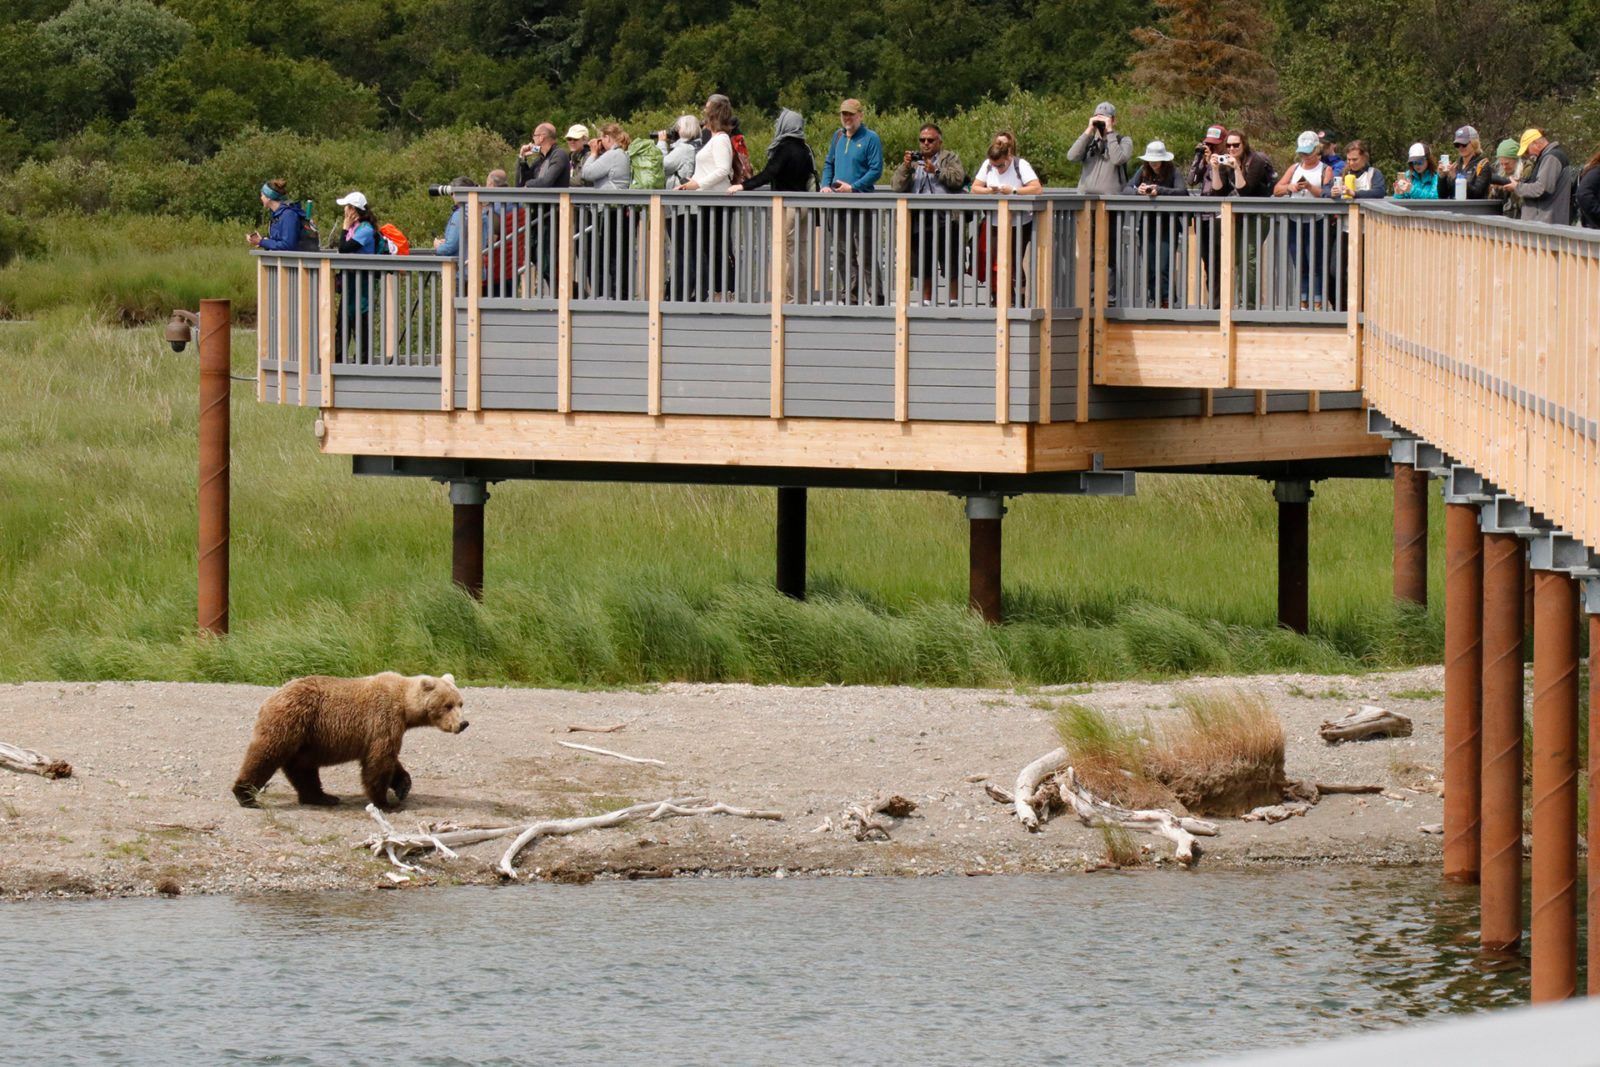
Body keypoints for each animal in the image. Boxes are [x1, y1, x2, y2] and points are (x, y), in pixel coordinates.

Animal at [232, 672, 468, 811]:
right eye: (447, 705)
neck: (405, 706)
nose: (463, 723)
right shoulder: (383, 719)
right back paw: (245, 795)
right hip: (291, 721)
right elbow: (379, 761)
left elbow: (391, 761)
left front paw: (403, 786)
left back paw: (322, 797)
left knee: (302, 768)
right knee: (266, 754)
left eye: (460, 703)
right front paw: (383, 802)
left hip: (306, 738)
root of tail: (270, 698)